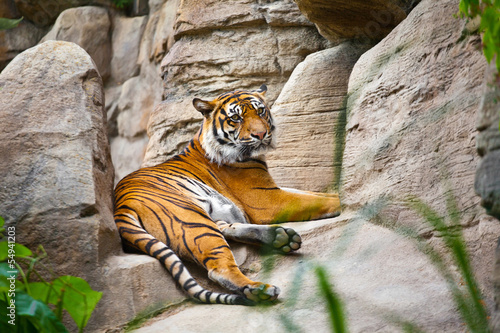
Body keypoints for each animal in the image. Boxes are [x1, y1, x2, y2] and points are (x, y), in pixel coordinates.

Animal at [113, 84, 340, 304]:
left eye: (260, 111)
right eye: (236, 118)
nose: (261, 135)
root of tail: (120, 207)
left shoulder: (273, 190)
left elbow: (314, 194)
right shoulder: (268, 200)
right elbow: (315, 201)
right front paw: (343, 201)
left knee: (226, 228)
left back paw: (279, 237)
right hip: (192, 220)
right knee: (219, 268)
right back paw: (259, 289)